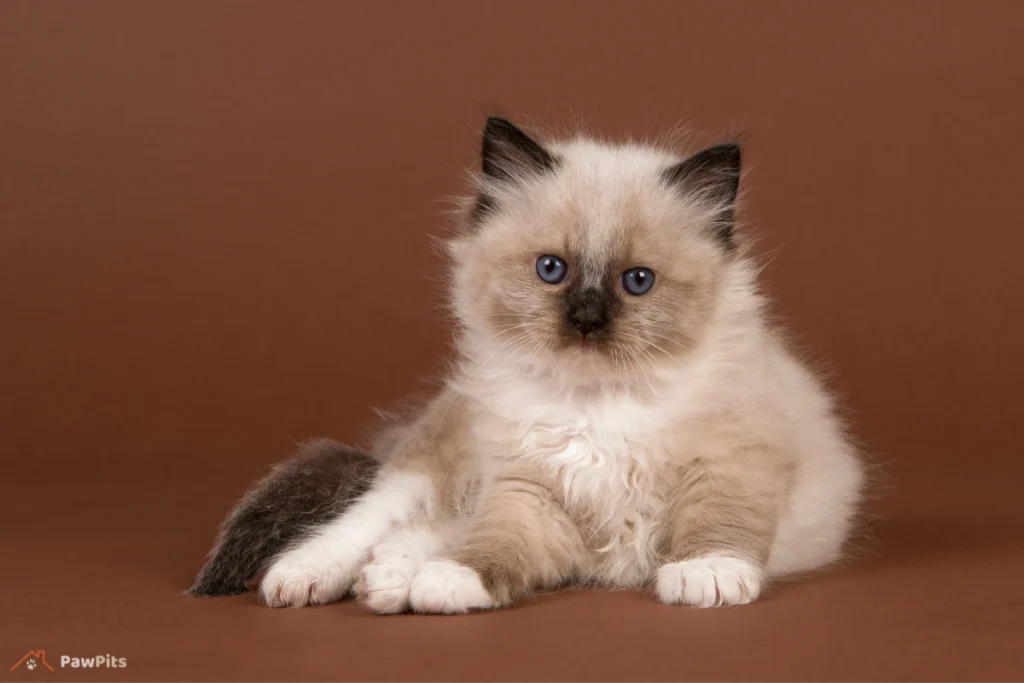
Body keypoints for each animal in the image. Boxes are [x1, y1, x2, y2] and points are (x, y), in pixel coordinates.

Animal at [190, 117, 864, 614]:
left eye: (637, 281)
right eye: (552, 270)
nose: (587, 319)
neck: (597, 407)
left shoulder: (731, 461)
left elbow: (719, 521)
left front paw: (708, 576)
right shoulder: (529, 494)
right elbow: (493, 548)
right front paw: (451, 583)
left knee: (428, 531)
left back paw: (389, 580)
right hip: (433, 467)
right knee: (371, 521)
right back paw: (310, 578)